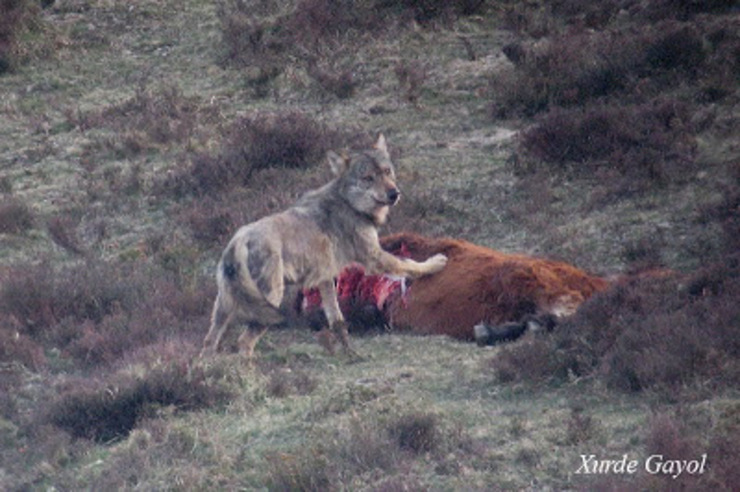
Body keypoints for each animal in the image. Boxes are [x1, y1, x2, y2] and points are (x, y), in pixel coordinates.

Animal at [199, 136, 448, 360]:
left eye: (387, 172)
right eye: (368, 178)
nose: (394, 193)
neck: (351, 205)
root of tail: (238, 240)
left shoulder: (325, 278)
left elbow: (337, 321)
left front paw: (351, 354)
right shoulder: (374, 259)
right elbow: (410, 264)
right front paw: (437, 263)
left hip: (225, 309)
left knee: (210, 343)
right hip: (270, 303)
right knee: (243, 341)